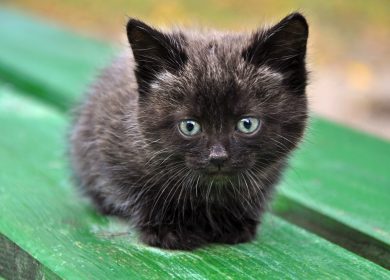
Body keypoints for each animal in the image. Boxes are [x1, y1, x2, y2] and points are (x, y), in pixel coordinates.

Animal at [69, 12, 308, 249]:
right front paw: (168, 229)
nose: (218, 157)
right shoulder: (109, 151)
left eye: (247, 124)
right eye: (189, 126)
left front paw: (232, 223)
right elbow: (137, 192)